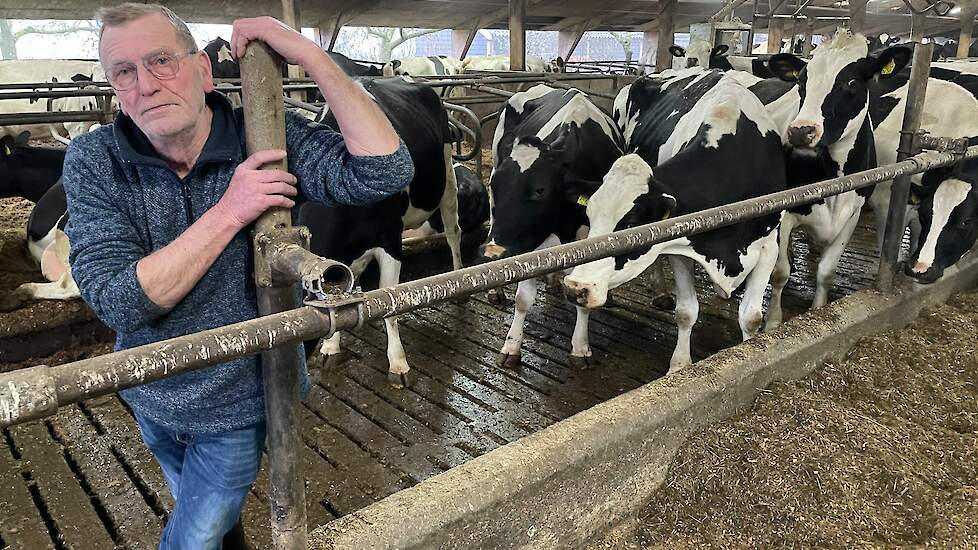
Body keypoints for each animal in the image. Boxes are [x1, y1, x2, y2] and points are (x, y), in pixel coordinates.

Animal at [304, 76, 460, 388]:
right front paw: (331, 346)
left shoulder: (390, 238)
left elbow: (391, 300)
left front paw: (398, 362)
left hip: (447, 175)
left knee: (453, 232)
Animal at [476, 84, 620, 368]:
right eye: (495, 186)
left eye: (540, 190)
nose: (492, 253)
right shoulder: (530, 240)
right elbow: (523, 299)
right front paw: (511, 347)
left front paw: (580, 348)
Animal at [560, 67, 780, 374]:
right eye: (590, 218)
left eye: (631, 226)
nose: (575, 288)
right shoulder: (679, 245)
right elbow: (686, 312)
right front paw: (680, 365)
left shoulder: (769, 245)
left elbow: (751, 317)